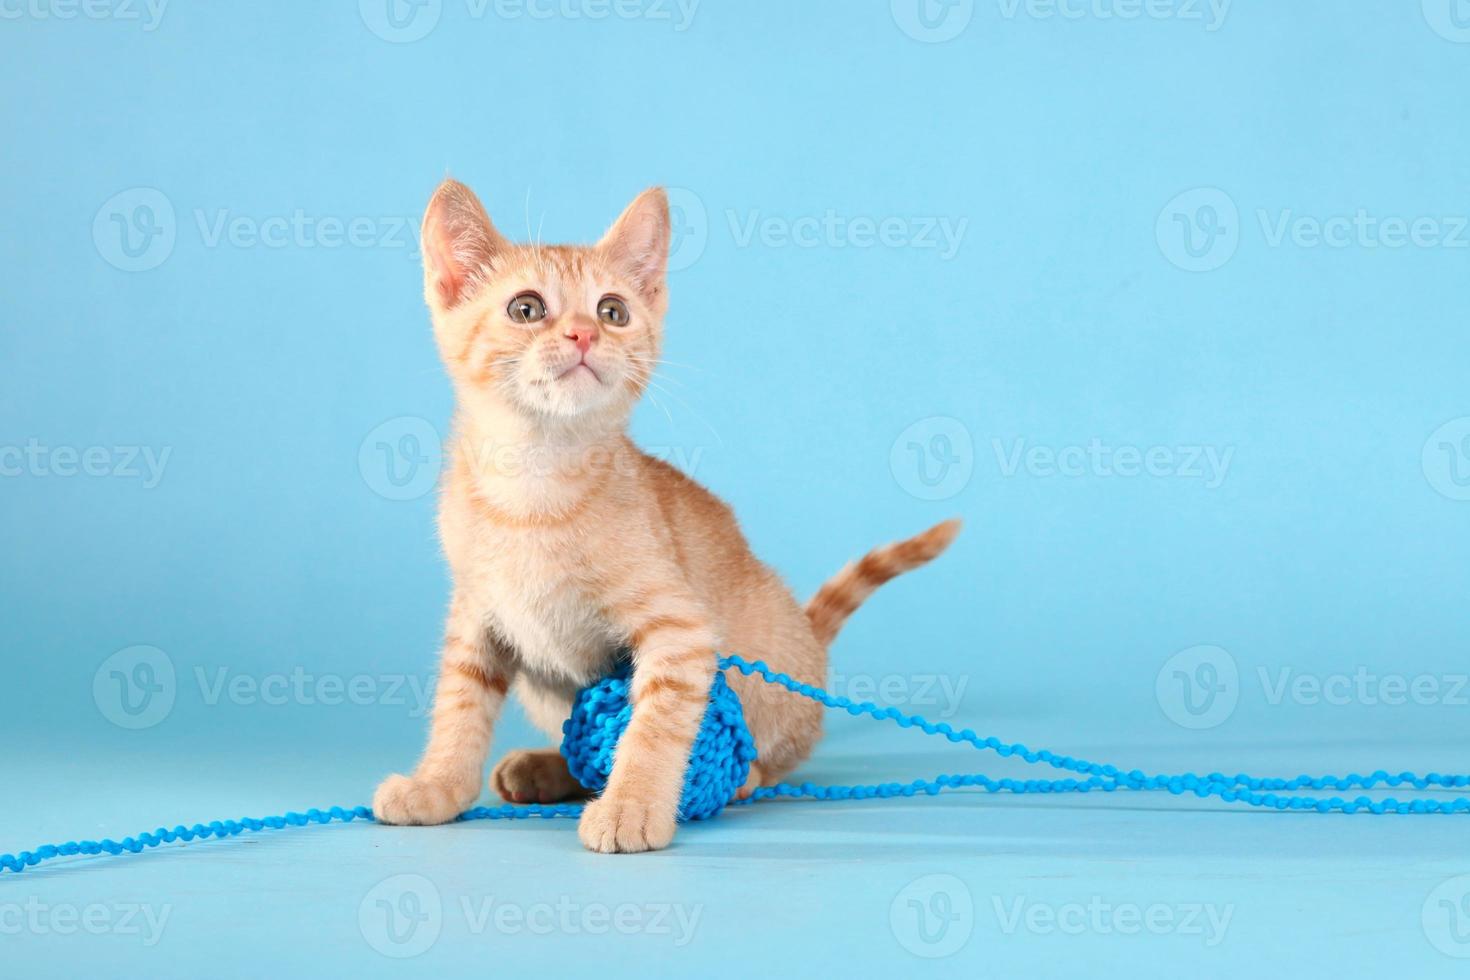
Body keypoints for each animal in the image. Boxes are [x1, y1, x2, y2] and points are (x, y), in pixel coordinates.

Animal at [373, 178, 958, 852]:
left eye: (612, 312)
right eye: (526, 309)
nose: (584, 336)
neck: (534, 482)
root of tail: (808, 636)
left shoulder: (680, 630)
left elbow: (653, 723)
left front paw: (632, 804)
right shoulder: (477, 614)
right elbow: (459, 707)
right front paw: (437, 786)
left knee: (774, 759)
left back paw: (736, 777)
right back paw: (546, 770)